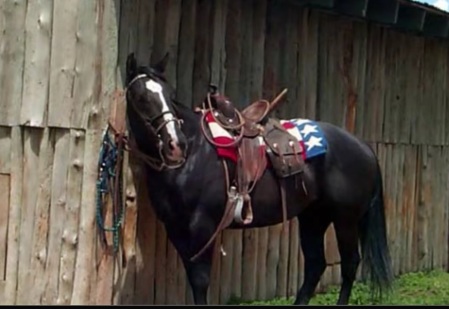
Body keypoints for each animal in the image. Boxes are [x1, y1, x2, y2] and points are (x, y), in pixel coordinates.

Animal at [123, 52, 392, 304]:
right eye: (140, 98)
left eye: (169, 94)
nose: (175, 145)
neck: (195, 152)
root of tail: (364, 147)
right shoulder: (176, 228)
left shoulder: (202, 227)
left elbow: (200, 281)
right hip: (314, 216)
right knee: (316, 265)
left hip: (345, 218)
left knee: (349, 264)